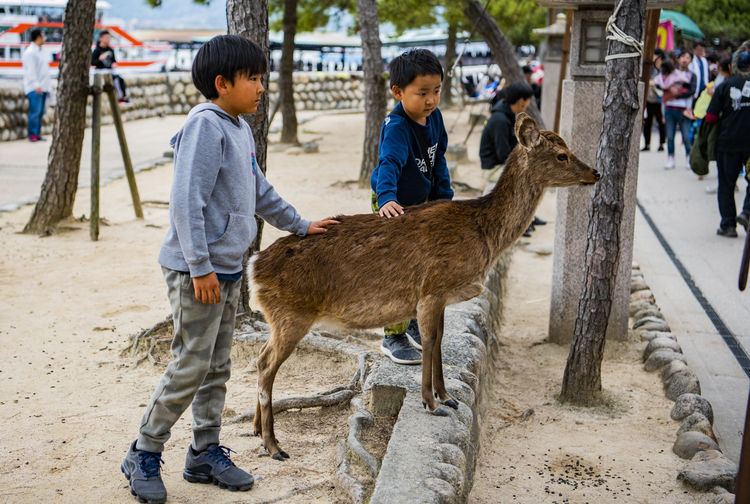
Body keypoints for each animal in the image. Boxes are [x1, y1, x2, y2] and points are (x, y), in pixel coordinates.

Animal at [250, 112, 604, 458]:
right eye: (561, 154)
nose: (596, 172)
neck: (485, 237)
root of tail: (254, 267)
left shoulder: (443, 295)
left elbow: (440, 340)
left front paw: (447, 396)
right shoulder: (431, 290)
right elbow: (431, 340)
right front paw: (431, 403)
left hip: (278, 317)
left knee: (260, 356)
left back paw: (255, 429)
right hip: (292, 314)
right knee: (267, 365)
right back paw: (273, 445)